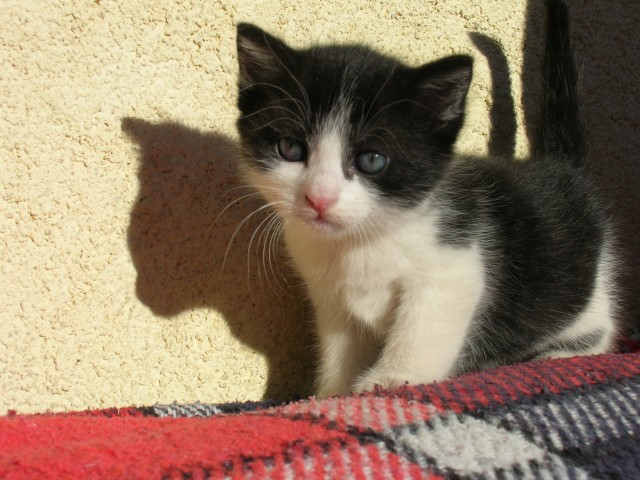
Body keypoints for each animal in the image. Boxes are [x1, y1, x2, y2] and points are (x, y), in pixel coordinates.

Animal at [234, 0, 619, 398]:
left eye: (372, 160)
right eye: (290, 148)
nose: (320, 198)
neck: (360, 243)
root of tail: (559, 167)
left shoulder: (456, 265)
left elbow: (422, 330)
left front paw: (391, 378)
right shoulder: (330, 299)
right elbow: (341, 350)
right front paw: (332, 393)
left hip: (586, 293)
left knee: (595, 332)